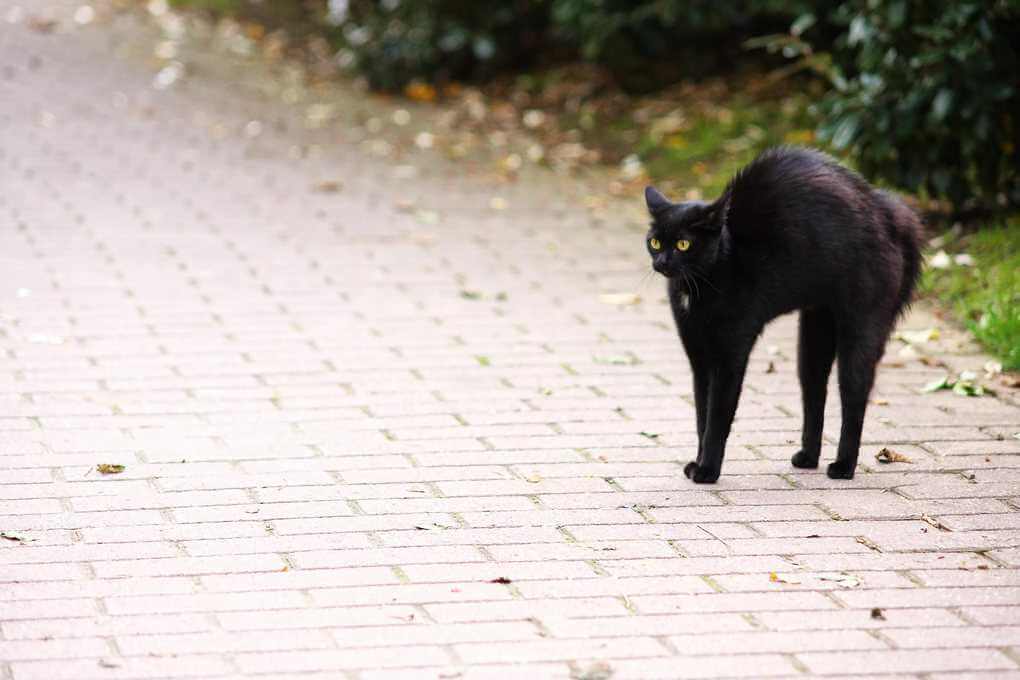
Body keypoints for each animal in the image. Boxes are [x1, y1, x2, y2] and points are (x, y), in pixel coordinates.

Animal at [644, 144, 926, 483]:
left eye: (684, 244)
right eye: (655, 241)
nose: (662, 262)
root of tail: (889, 212)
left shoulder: (729, 356)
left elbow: (718, 416)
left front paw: (708, 470)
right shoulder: (698, 357)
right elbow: (702, 414)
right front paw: (698, 462)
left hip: (862, 326)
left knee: (854, 397)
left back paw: (843, 466)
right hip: (816, 331)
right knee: (814, 391)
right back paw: (808, 457)